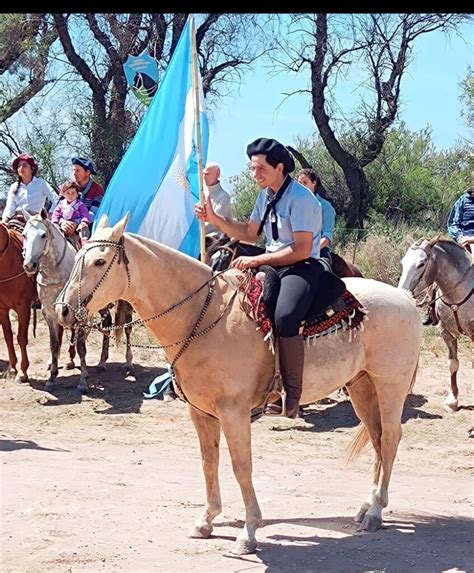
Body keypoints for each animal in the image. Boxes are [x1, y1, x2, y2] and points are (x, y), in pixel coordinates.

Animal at [21, 211, 133, 394]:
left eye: (43, 235)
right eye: (24, 235)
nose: (29, 265)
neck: (55, 274)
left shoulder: (80, 314)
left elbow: (81, 347)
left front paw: (83, 381)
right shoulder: (51, 314)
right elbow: (54, 345)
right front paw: (52, 378)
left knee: (128, 329)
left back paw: (128, 362)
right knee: (107, 323)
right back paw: (102, 362)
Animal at [54, 214, 422, 556]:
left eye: (100, 261)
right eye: (77, 257)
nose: (63, 311)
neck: (203, 317)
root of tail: (404, 298)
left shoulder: (234, 413)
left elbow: (241, 466)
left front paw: (248, 532)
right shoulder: (201, 412)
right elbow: (209, 461)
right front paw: (206, 520)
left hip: (390, 386)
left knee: (390, 439)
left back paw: (375, 512)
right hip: (361, 387)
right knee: (377, 438)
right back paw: (367, 506)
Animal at [398, 238, 472, 412]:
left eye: (421, 263)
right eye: (403, 262)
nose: (402, 292)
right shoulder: (446, 332)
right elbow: (453, 364)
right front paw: (452, 400)